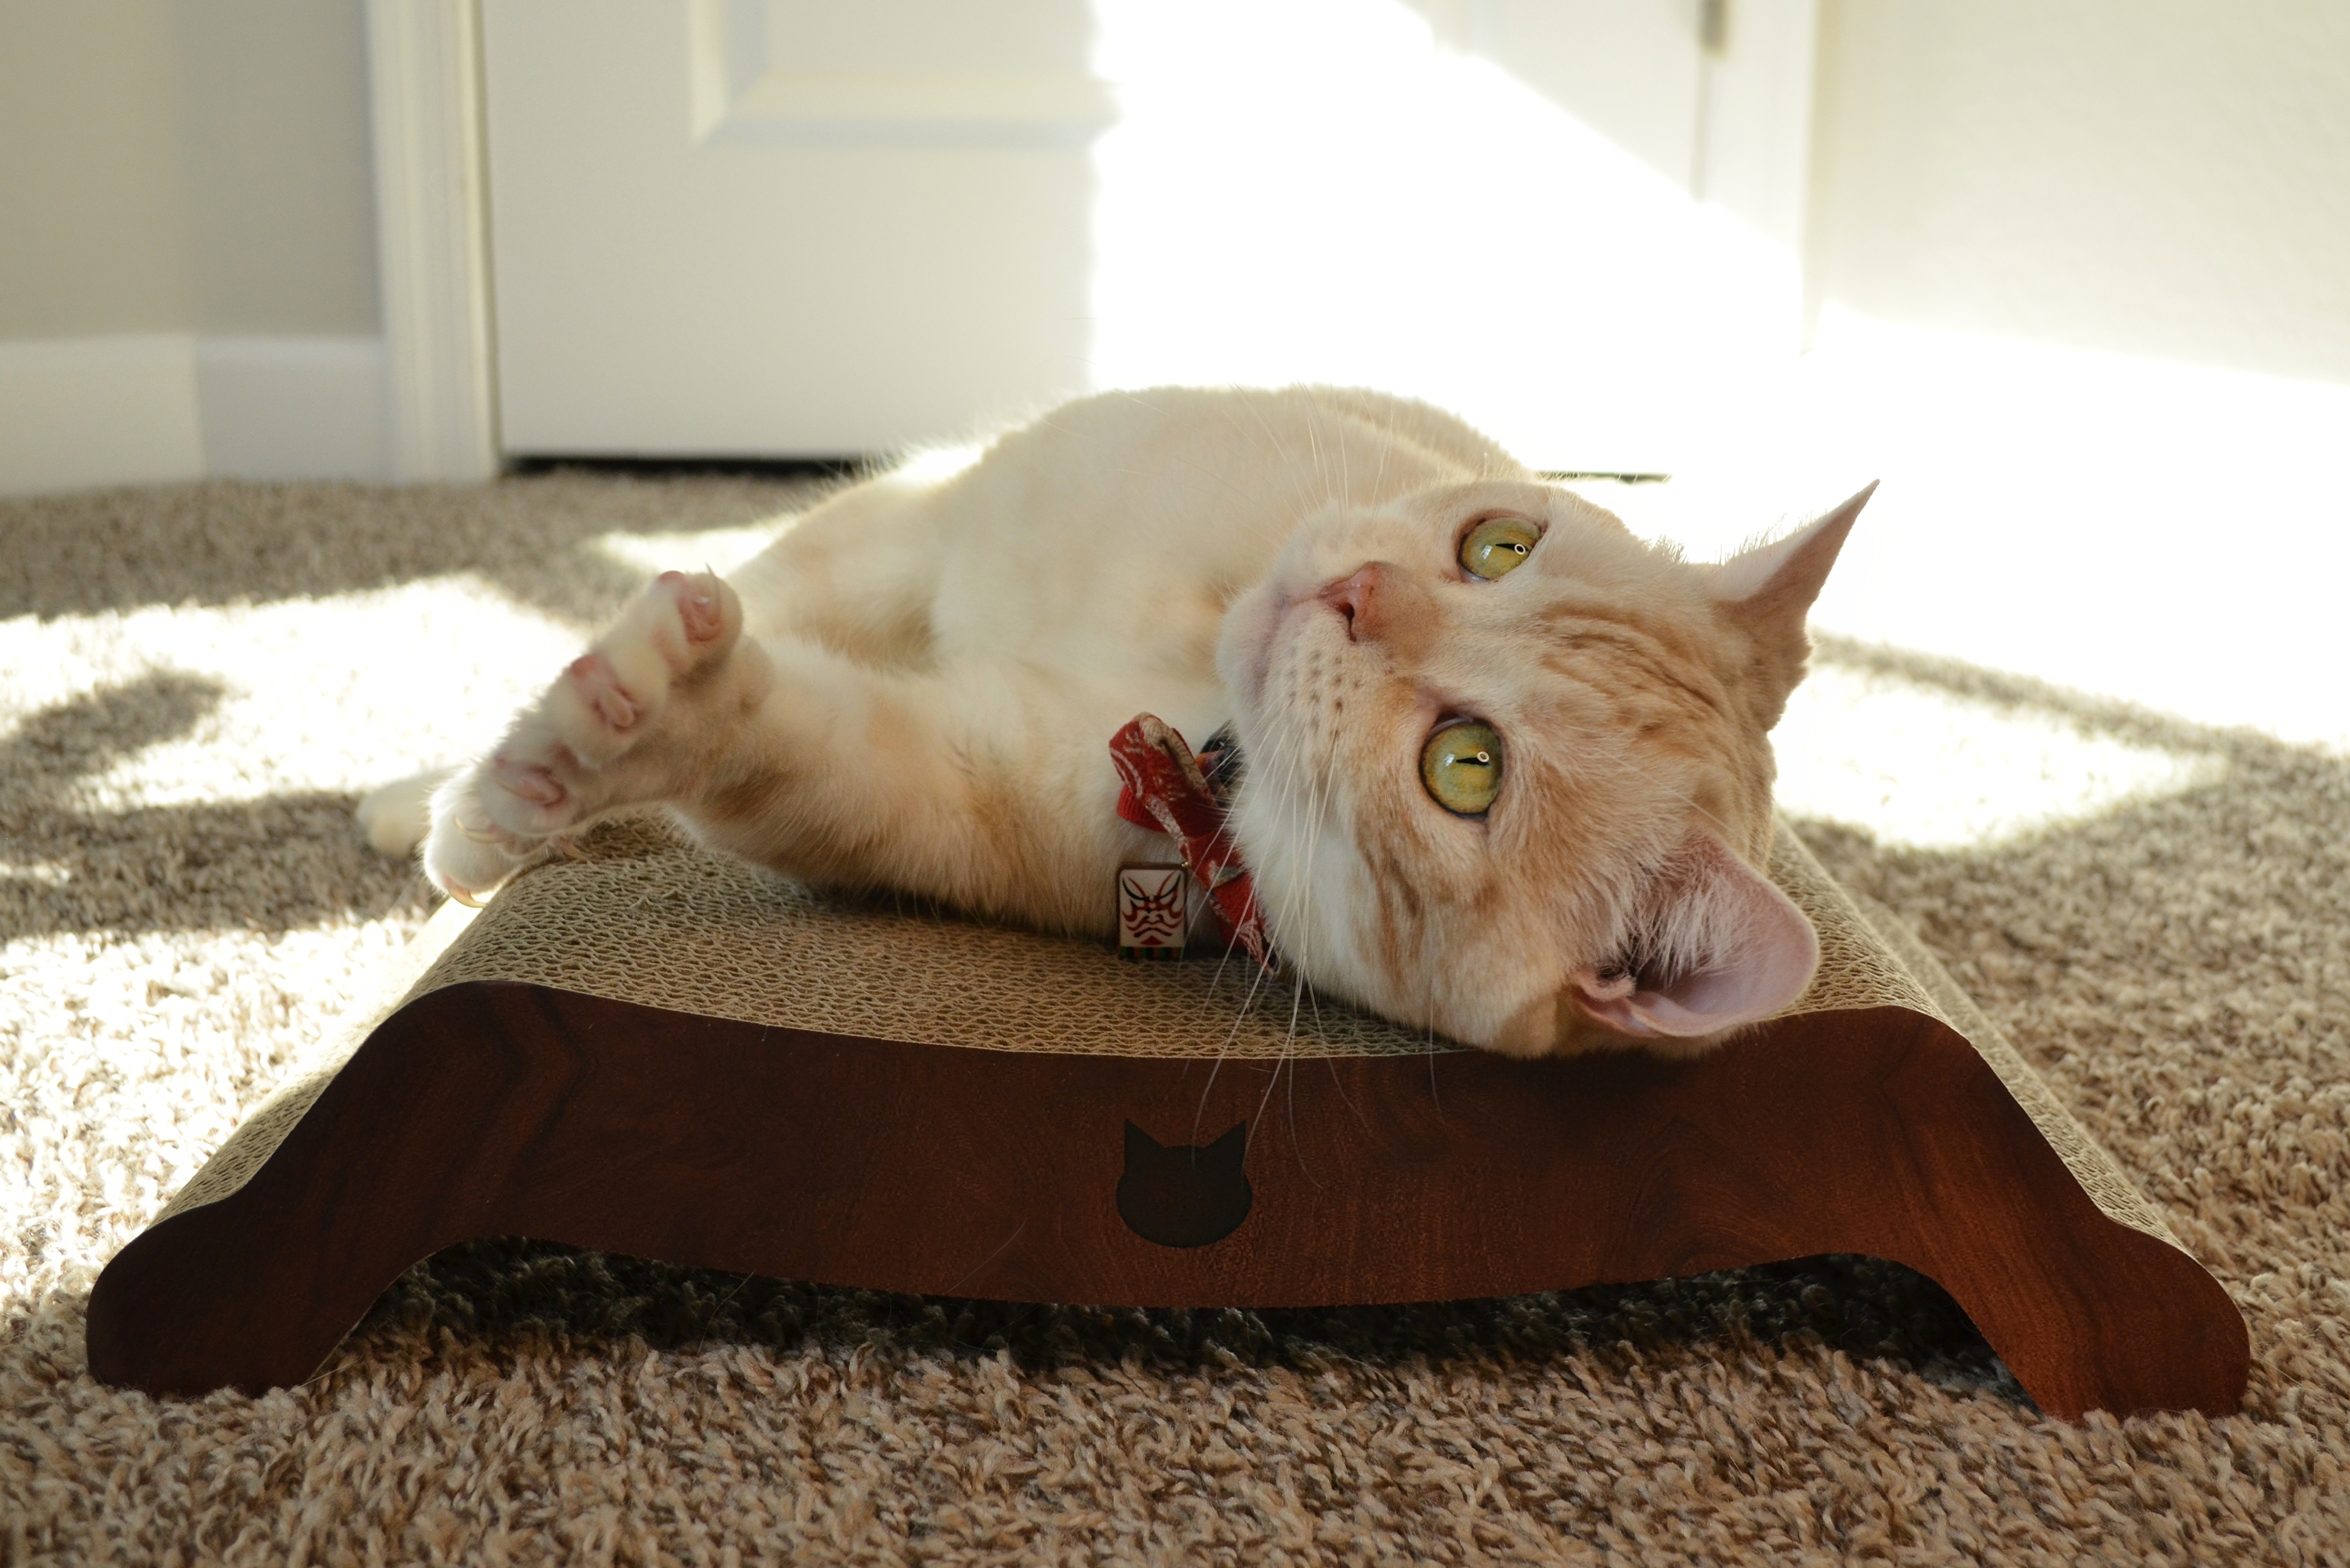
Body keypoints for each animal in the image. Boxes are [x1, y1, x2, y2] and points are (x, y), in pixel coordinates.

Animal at [371, 385, 1870, 1062]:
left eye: (1467, 767)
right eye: (1496, 545)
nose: (1351, 592)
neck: (1188, 653)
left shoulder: (938, 779)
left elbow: (768, 737)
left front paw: (629, 731)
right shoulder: (918, 528)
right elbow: (748, 599)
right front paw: (485, 799)